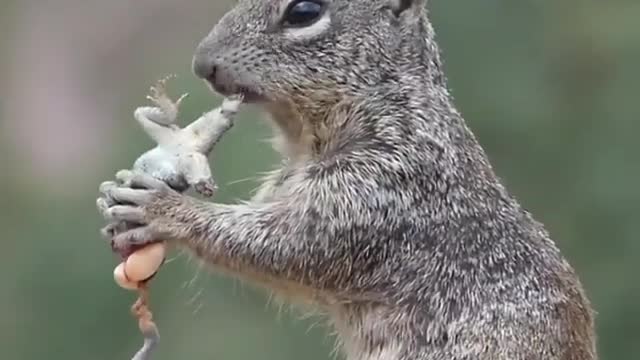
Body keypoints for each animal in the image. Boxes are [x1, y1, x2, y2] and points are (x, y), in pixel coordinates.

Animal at [97, 0, 596, 358]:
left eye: (304, 11)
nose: (202, 64)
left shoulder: (385, 186)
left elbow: (287, 244)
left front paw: (163, 208)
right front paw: (114, 198)